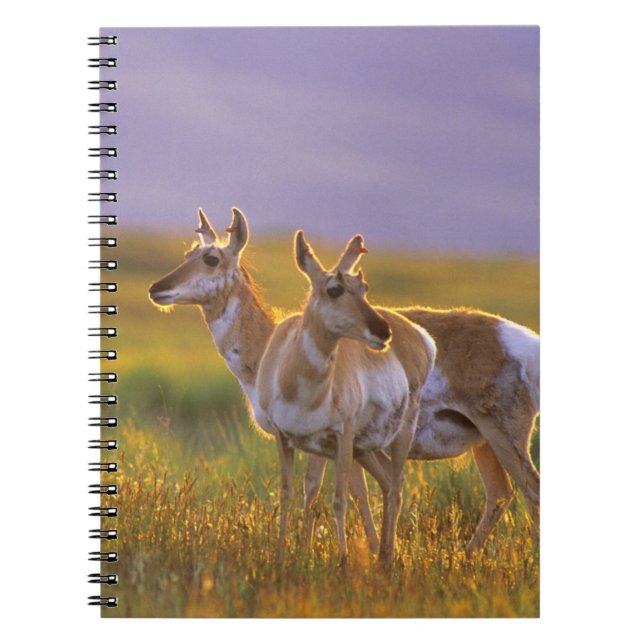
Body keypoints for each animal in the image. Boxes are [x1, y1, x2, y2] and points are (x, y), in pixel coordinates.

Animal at [148, 207, 381, 553]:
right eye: (188, 253)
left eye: (211, 258)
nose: (156, 288)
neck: (275, 347)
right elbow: (354, 491)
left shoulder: (331, 435)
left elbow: (317, 489)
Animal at [255, 231, 436, 564]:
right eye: (335, 289)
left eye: (364, 288)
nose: (383, 331)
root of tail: (420, 336)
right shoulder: (284, 437)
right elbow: (287, 494)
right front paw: (281, 556)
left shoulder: (342, 436)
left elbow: (339, 499)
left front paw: (343, 561)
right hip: (364, 450)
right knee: (387, 483)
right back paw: (382, 556)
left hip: (400, 434)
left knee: (396, 489)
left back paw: (389, 559)